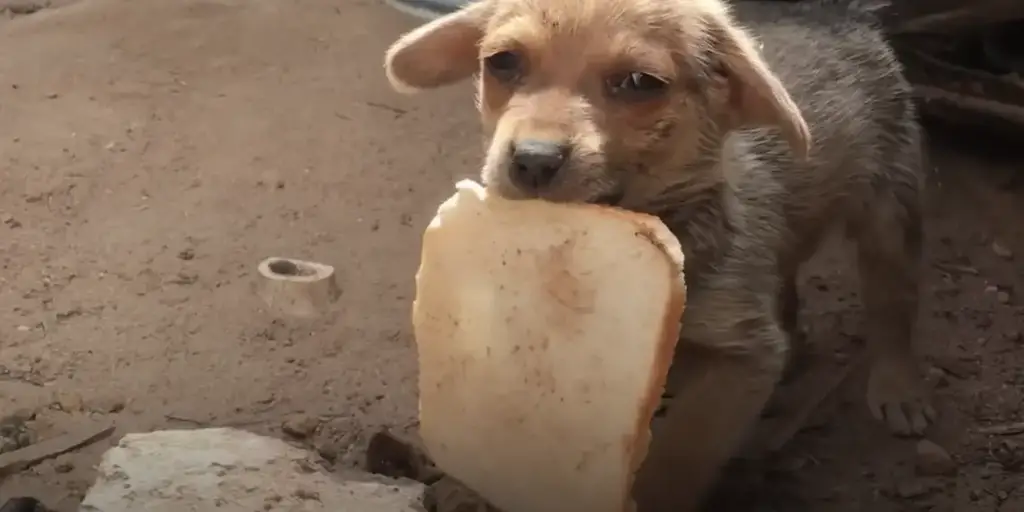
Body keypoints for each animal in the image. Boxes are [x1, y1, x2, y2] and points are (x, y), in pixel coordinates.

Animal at [385, 0, 937, 507]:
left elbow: (683, 451)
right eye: (502, 62)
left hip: (890, 209)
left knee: (894, 303)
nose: (533, 161)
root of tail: (837, 14)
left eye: (638, 82)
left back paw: (897, 386)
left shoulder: (743, 357)